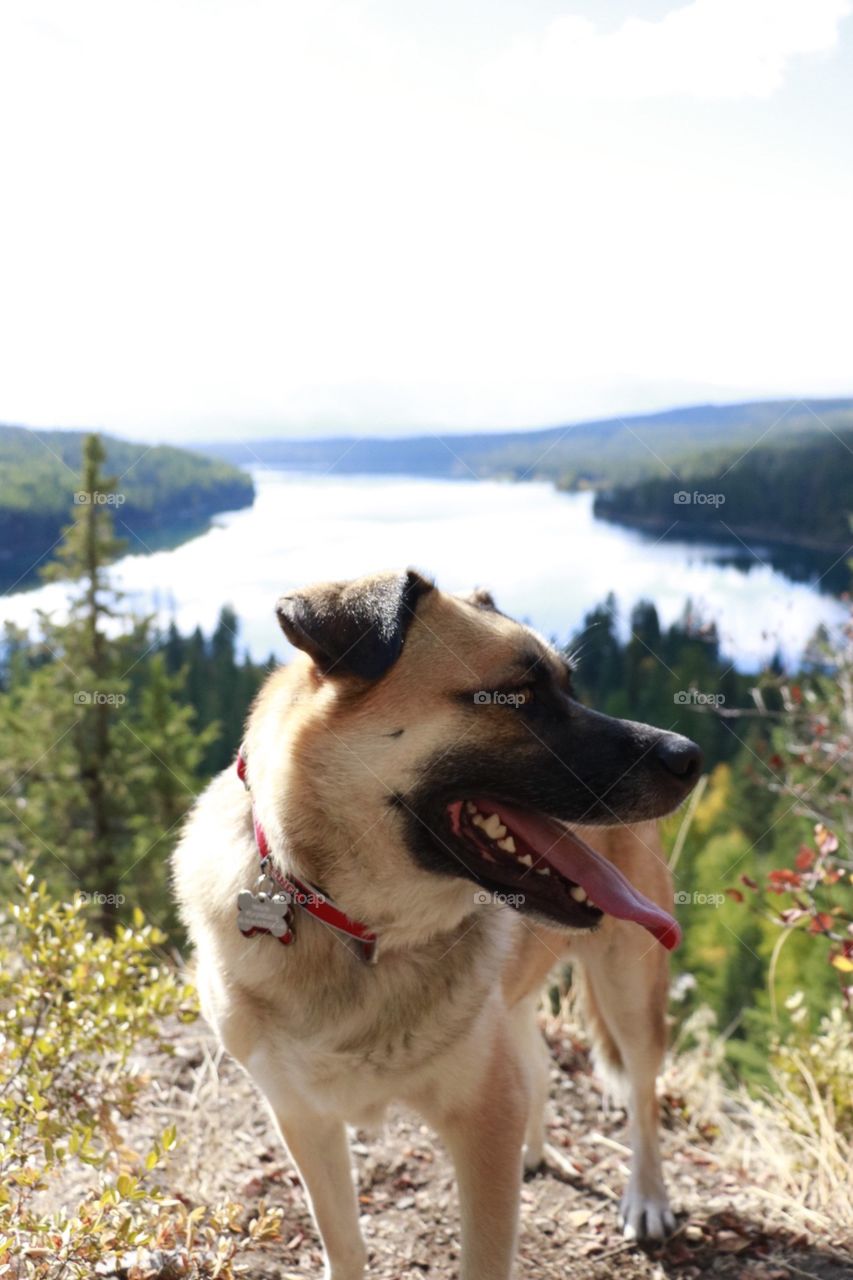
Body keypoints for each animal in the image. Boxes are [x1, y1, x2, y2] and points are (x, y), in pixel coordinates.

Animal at [172, 573, 696, 1280]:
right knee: (538, 1066)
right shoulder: (304, 1120)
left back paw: (647, 1197)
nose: (691, 757)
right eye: (518, 697)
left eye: (569, 688)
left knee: (641, 1094)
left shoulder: (483, 1124)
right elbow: (344, 1244)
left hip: (629, 990)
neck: (359, 929)